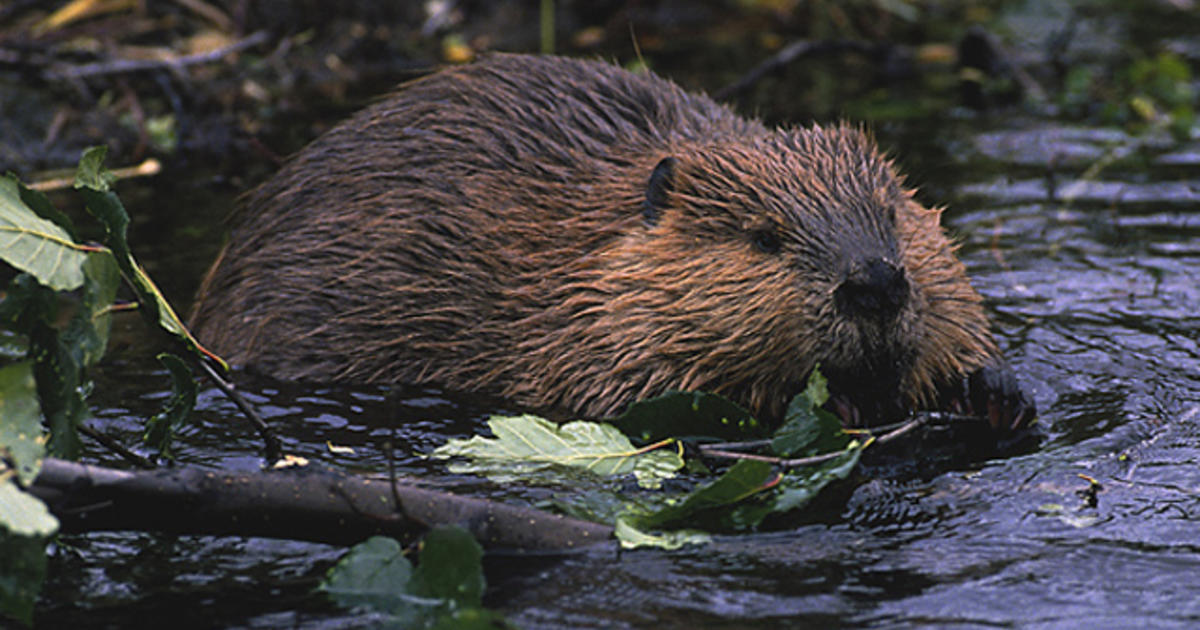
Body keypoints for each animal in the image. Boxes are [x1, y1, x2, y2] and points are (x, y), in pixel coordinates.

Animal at [192, 52, 1036, 432]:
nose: (876, 284)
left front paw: (991, 386)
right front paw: (846, 406)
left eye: (890, 212)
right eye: (765, 237)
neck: (584, 243)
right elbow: (636, 390)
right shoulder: (579, 323)